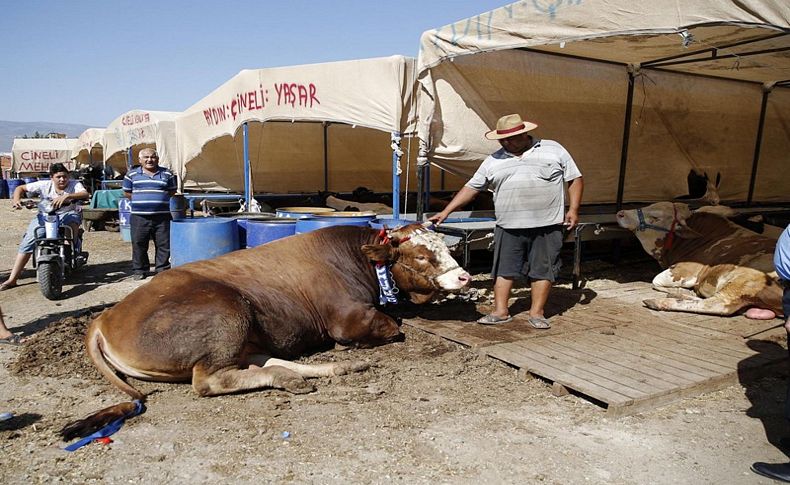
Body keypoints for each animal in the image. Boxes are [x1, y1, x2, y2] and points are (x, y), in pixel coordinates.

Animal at [63, 221, 470, 440]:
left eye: (445, 248)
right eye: (422, 256)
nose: (464, 276)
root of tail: (106, 316)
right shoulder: (348, 319)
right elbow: (394, 326)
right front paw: (355, 347)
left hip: (245, 333)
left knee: (266, 362)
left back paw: (327, 371)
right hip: (227, 311)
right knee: (213, 380)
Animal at [616, 202, 784, 320]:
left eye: (655, 217)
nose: (620, 213)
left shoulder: (686, 270)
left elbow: (655, 280)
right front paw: (681, 291)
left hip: (744, 278)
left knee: (718, 304)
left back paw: (660, 301)